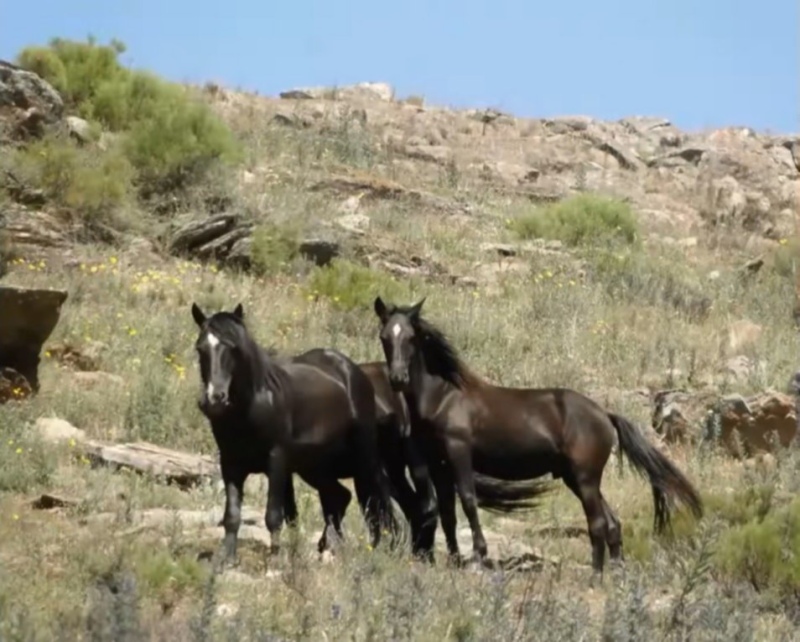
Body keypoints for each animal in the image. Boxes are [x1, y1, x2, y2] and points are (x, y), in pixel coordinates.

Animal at [191, 302, 396, 564]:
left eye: (233, 347)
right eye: (200, 348)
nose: (214, 399)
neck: (253, 406)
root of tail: (353, 371)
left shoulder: (276, 461)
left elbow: (273, 515)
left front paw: (275, 560)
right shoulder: (231, 463)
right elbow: (233, 515)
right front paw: (225, 559)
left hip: (363, 458)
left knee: (373, 501)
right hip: (315, 466)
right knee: (338, 497)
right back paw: (329, 546)